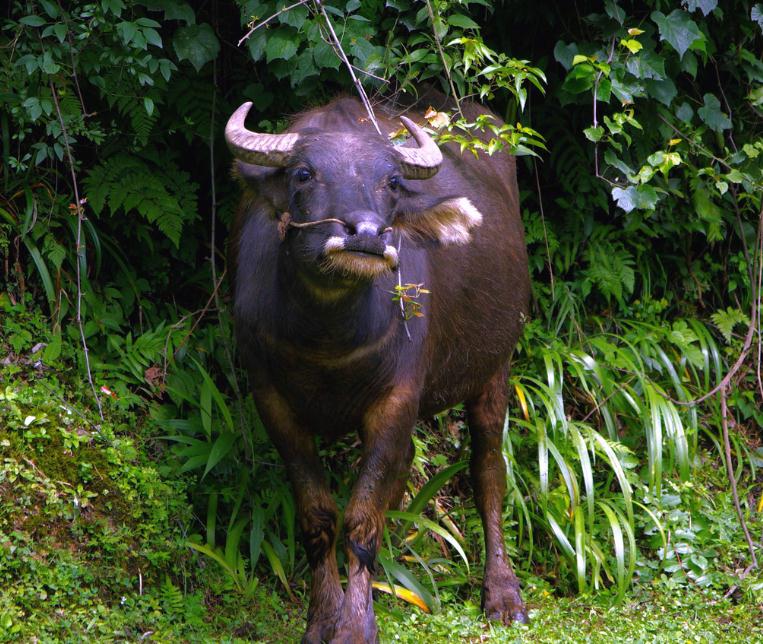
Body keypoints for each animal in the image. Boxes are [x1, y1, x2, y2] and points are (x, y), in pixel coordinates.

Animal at [227, 92, 532, 644]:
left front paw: (354, 627)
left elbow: (361, 518)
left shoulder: (396, 400)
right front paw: (323, 619)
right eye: (303, 173)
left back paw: (503, 595)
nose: (365, 235)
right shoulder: (273, 401)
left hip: (495, 367)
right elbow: (319, 516)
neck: (325, 336)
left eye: (391, 182)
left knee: (488, 471)